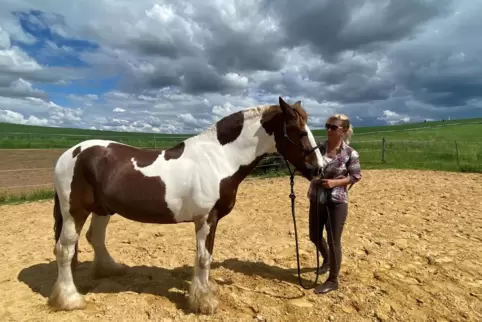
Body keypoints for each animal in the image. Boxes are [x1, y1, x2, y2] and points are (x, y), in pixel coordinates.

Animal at [49, 95, 324, 314]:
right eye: (299, 131)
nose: (320, 169)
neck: (219, 159)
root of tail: (69, 154)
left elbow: (207, 257)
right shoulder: (206, 218)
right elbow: (203, 258)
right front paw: (203, 302)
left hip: (102, 209)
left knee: (95, 237)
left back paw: (110, 270)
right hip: (75, 211)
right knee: (65, 249)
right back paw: (70, 300)